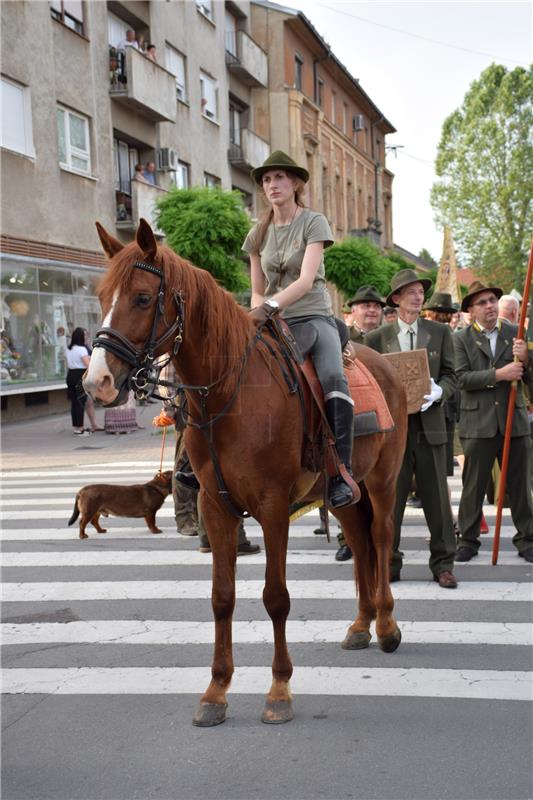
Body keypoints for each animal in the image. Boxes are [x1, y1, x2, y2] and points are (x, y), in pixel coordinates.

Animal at [84, 219, 408, 724]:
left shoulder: (273, 508)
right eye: (101, 297)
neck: (229, 394)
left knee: (379, 538)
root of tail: (384, 365)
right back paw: (361, 624)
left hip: (383, 482)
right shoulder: (216, 507)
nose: (95, 382)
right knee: (358, 541)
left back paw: (388, 626)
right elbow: (222, 598)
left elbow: (275, 598)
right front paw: (216, 691)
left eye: (141, 297)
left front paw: (279, 689)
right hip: (343, 489)